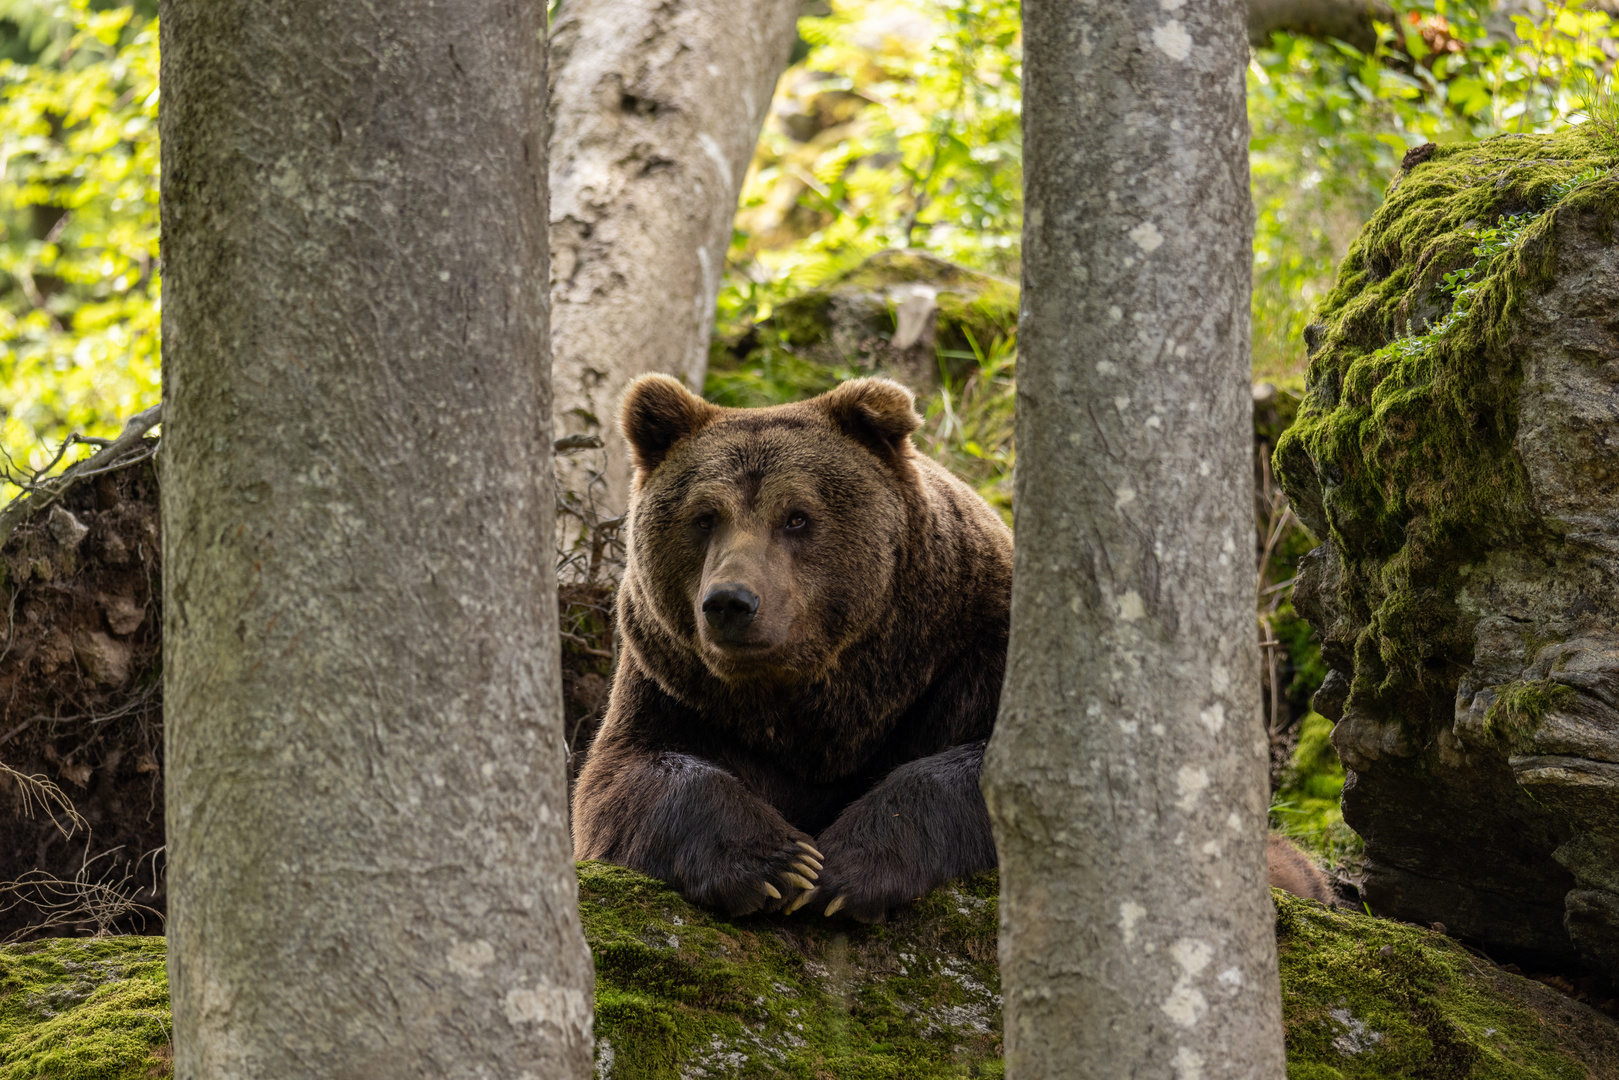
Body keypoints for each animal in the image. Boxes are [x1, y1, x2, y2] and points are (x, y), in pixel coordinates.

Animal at [576, 372, 1334, 919]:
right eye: (705, 516)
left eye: (797, 517)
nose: (731, 603)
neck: (829, 695)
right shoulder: (679, 688)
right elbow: (627, 779)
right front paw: (776, 864)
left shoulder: (971, 651)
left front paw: (846, 867)